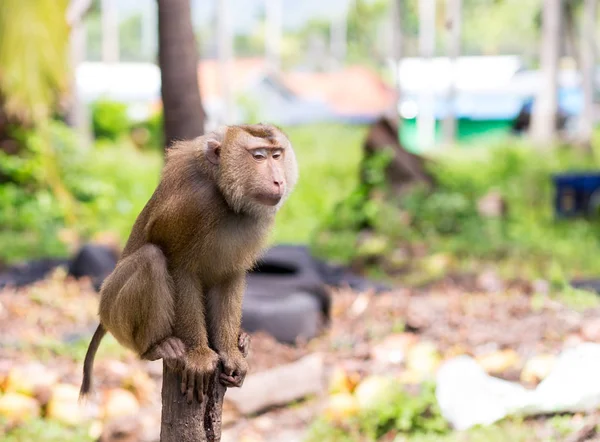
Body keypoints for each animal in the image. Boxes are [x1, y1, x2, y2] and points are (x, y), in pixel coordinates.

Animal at [78, 122, 298, 402]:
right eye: (258, 157)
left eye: (276, 155)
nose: (278, 180)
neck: (223, 195)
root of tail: (103, 315)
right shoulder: (194, 207)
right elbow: (180, 269)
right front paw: (199, 355)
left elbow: (229, 276)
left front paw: (230, 353)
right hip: (114, 312)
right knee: (151, 259)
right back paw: (157, 347)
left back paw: (241, 341)